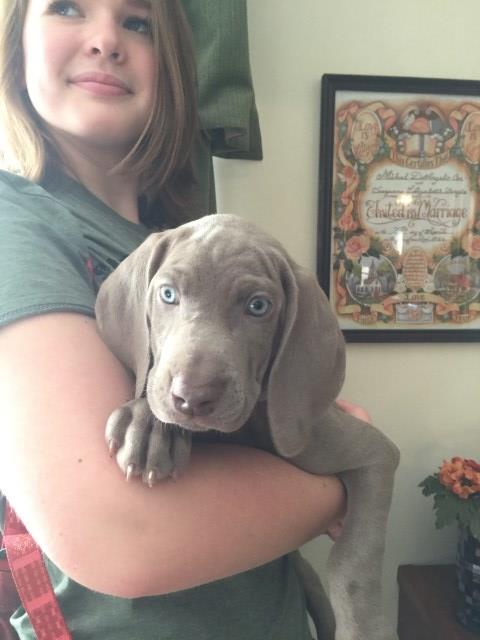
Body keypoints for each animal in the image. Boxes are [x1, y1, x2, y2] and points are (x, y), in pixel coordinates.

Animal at [95, 214, 400, 640]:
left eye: (258, 306)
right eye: (168, 294)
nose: (193, 397)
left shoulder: (375, 454)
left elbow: (353, 557)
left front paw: (365, 628)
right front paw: (150, 427)